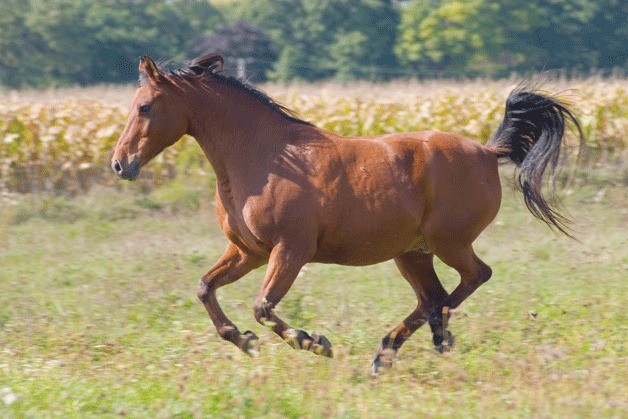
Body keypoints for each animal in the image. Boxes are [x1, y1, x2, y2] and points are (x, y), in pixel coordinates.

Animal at [111, 55, 584, 374]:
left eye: (145, 107)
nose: (120, 164)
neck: (266, 159)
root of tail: (488, 151)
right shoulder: (248, 252)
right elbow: (205, 289)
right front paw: (244, 342)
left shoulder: (290, 250)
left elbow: (263, 307)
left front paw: (315, 342)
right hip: (412, 252)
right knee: (431, 296)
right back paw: (390, 351)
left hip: (449, 243)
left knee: (469, 281)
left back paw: (430, 337)